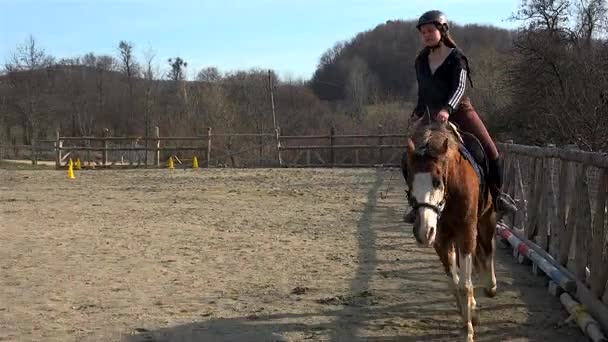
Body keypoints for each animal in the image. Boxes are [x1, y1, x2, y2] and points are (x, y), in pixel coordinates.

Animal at [402, 119, 496, 340]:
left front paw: (468, 332)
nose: (423, 232)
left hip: (486, 219)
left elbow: (465, 285)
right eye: (410, 181)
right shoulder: (441, 239)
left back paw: (491, 285)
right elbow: (454, 282)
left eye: (437, 182)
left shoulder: (466, 233)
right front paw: (468, 318)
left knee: (488, 248)